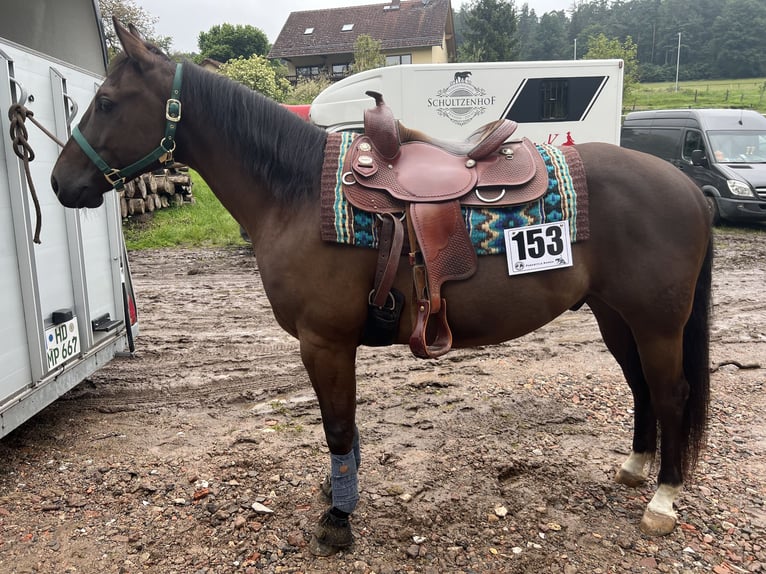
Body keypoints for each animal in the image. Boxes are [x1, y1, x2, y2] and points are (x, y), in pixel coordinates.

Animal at [51, 22, 716, 560]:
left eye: (106, 101)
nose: (60, 182)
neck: (296, 191)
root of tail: (686, 187)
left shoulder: (324, 342)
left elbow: (338, 428)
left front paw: (338, 519)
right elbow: (344, 430)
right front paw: (338, 492)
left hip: (656, 323)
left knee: (671, 392)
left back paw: (662, 501)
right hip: (615, 316)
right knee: (641, 388)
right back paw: (635, 468)